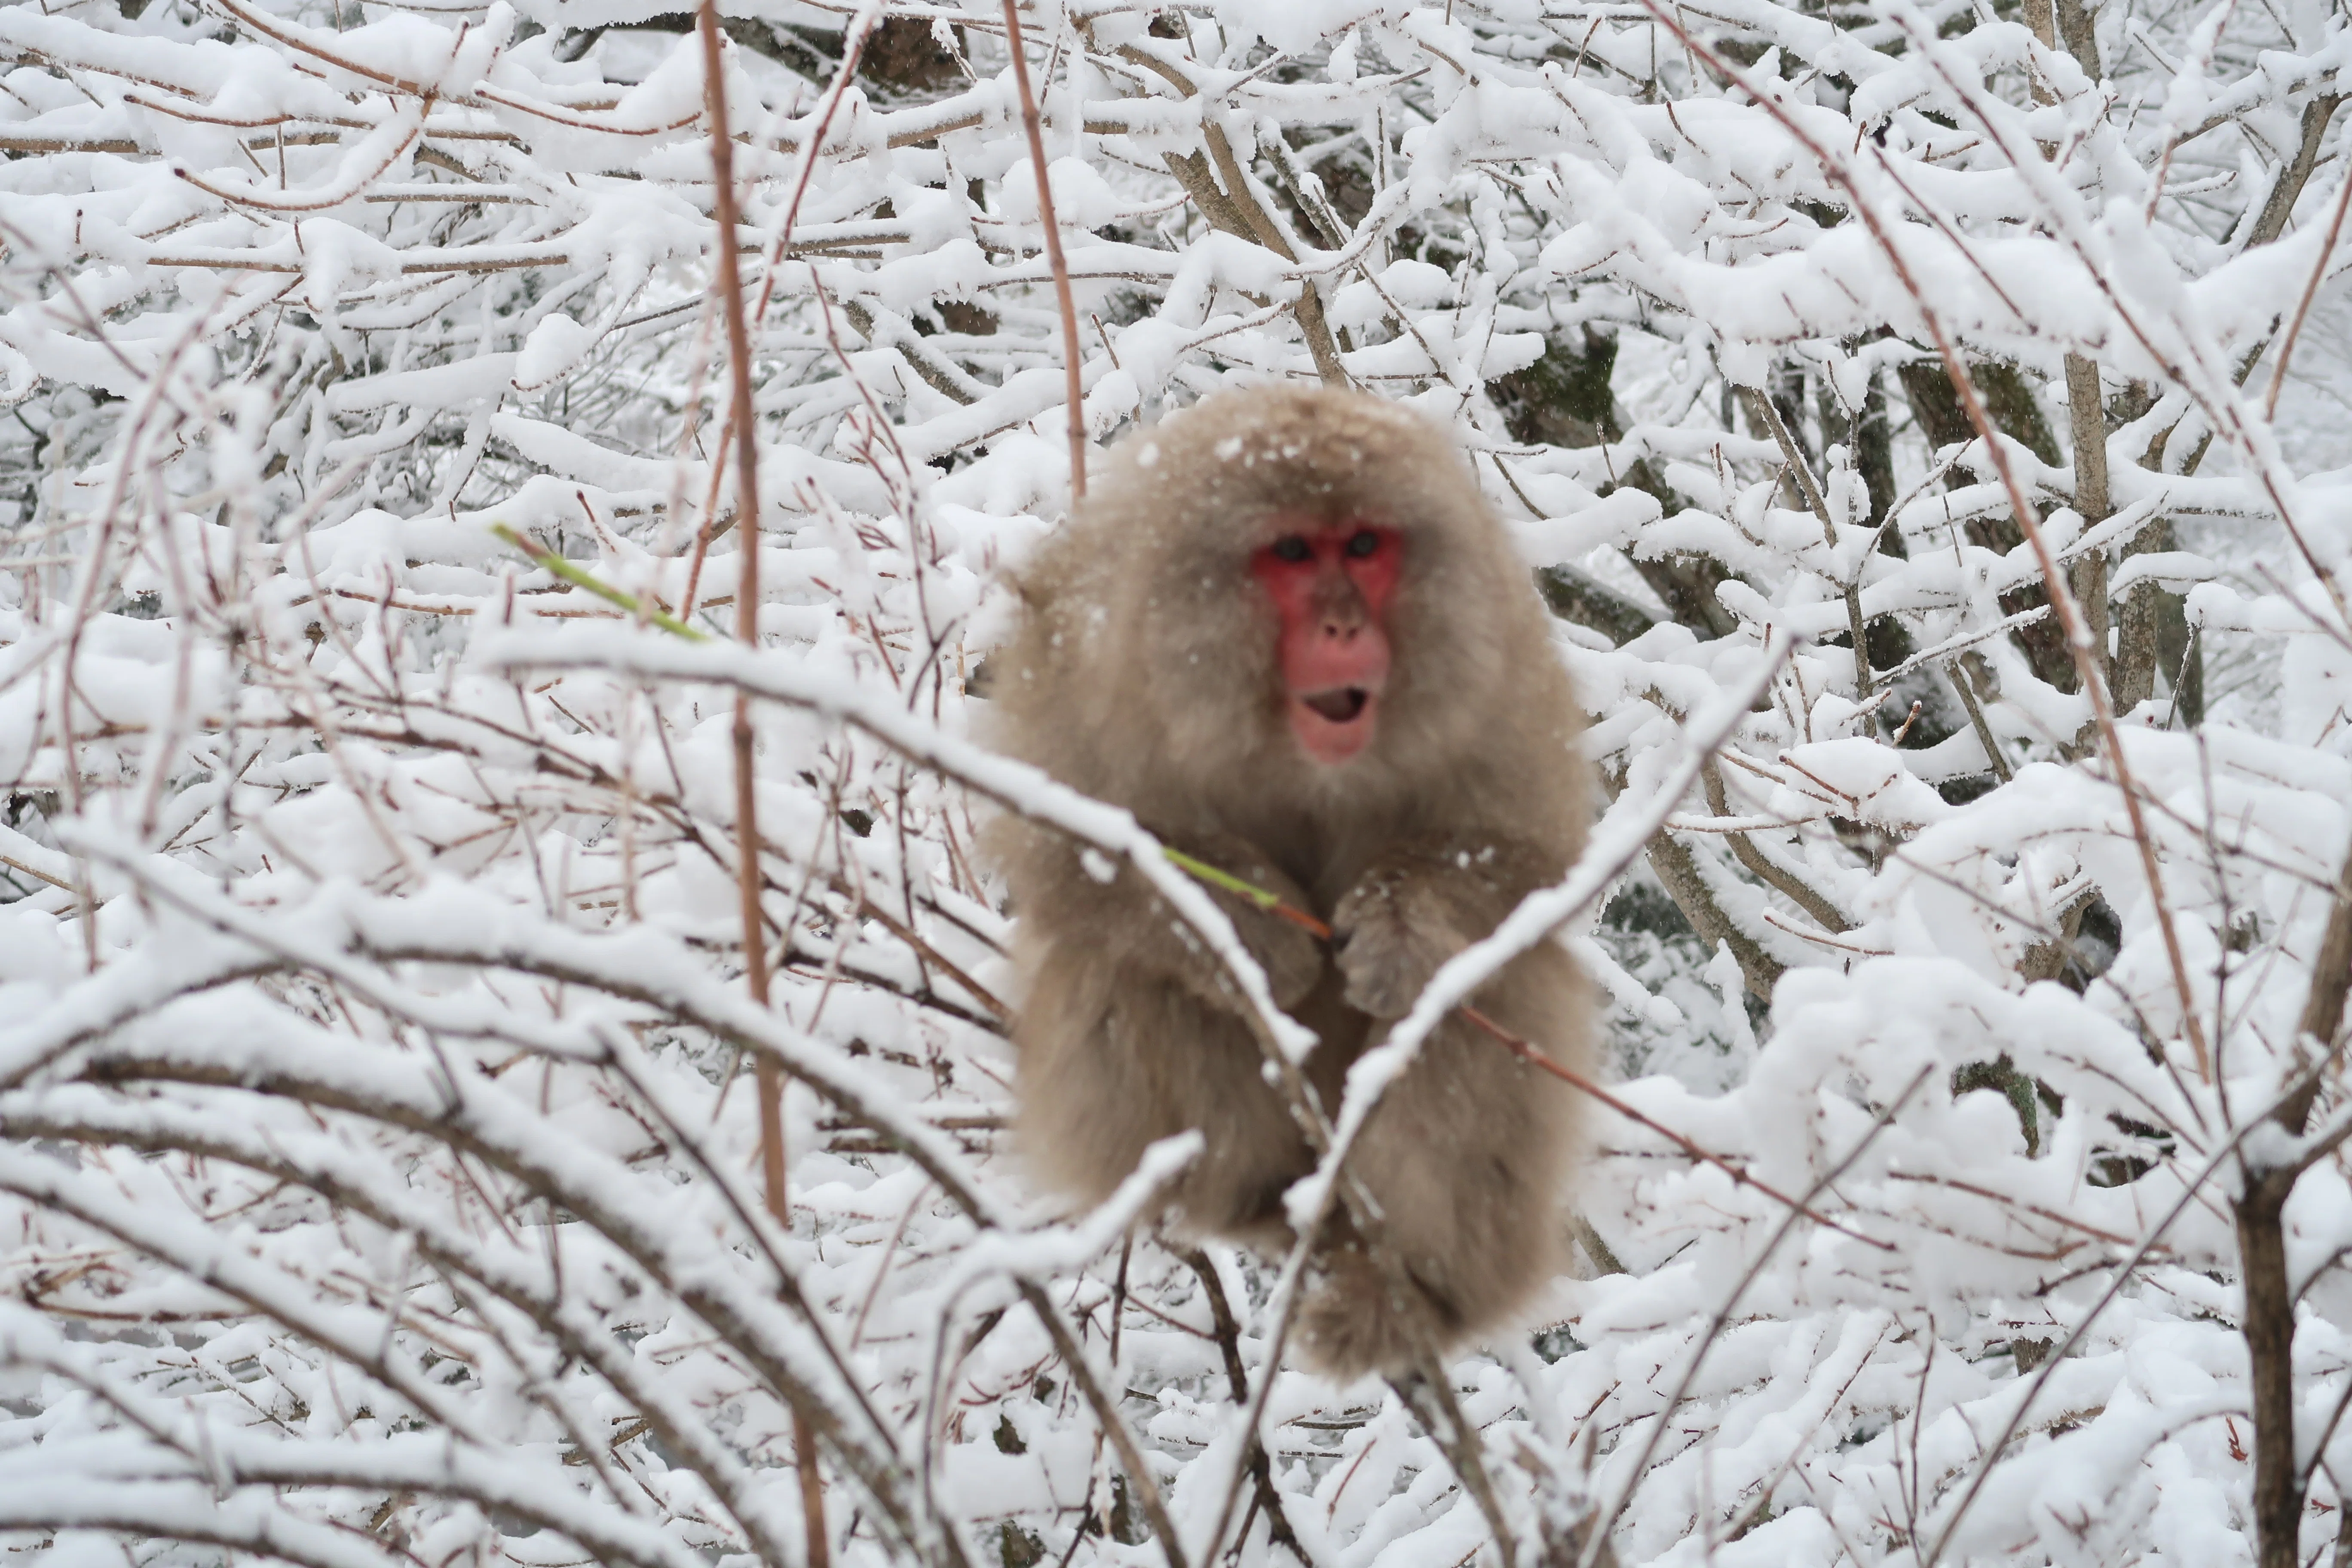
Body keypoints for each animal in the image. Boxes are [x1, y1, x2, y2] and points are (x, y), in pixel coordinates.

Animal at [984, 386, 1590, 1380]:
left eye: (1365, 545)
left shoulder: (1499, 653)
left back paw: (1412, 1291)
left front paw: (1399, 924)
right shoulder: (1080, 648)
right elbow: (1059, 849)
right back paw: (1245, 1196)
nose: (1344, 626)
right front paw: (1243, 918)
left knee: (1482, 992)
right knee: (1128, 969)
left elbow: (1530, 862)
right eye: (1296, 553)